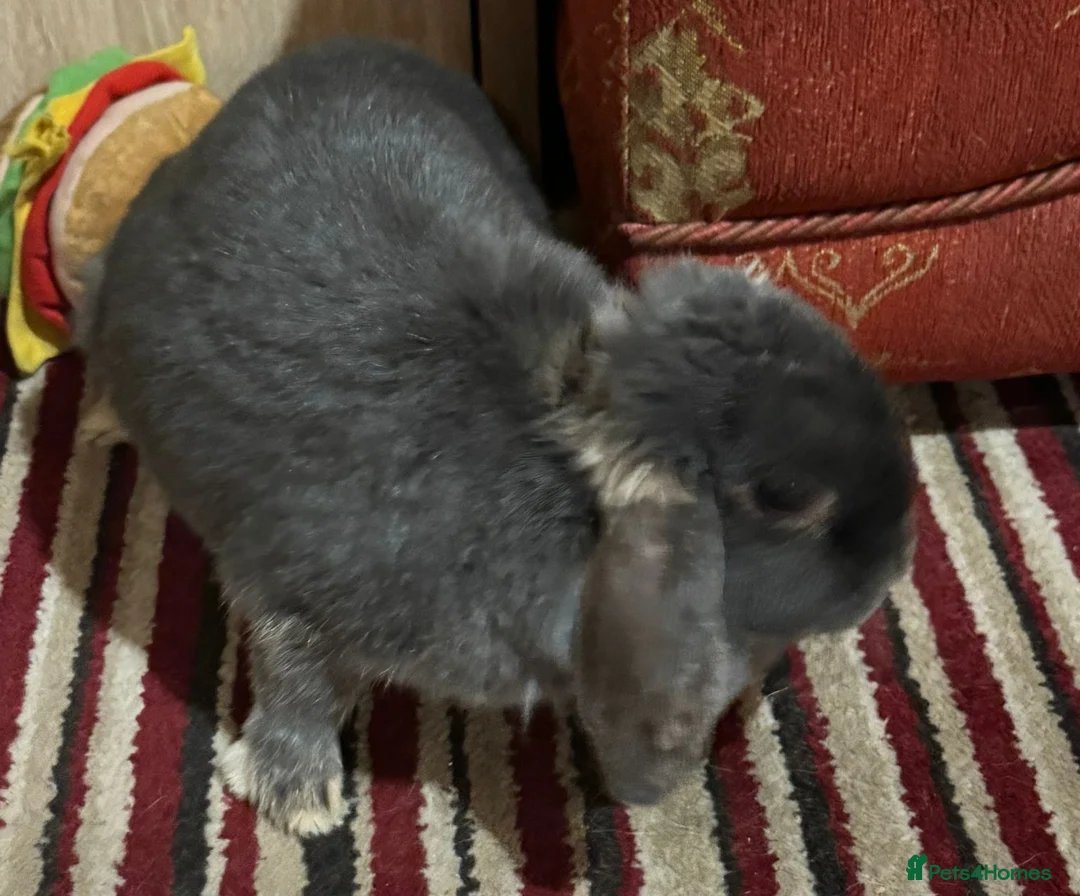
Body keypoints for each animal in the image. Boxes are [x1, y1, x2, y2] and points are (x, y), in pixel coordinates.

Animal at [76, 36, 916, 836]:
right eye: (785, 495)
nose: (895, 566)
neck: (558, 472)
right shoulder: (297, 594)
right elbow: (299, 682)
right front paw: (297, 799)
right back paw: (97, 421)